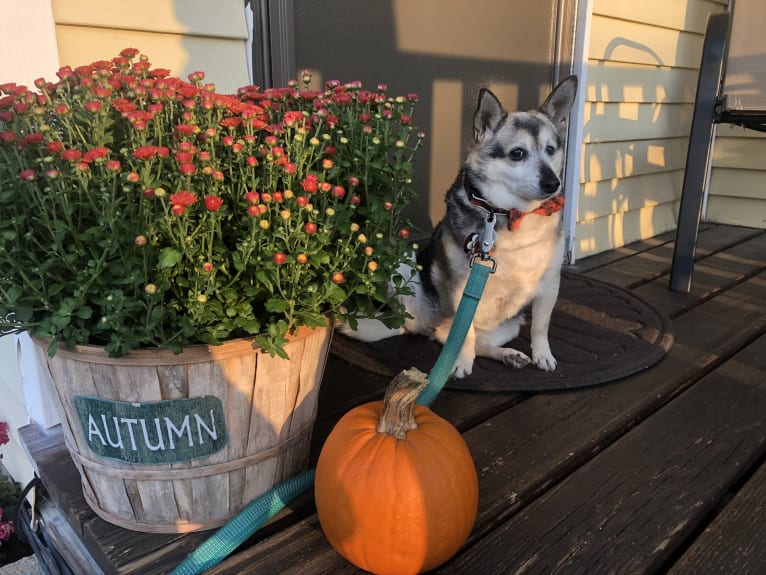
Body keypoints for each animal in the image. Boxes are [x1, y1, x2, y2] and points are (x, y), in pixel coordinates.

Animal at [340, 76, 576, 380]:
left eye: (550, 150)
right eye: (517, 154)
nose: (552, 183)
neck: (510, 215)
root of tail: (425, 324)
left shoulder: (549, 286)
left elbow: (540, 326)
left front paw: (542, 354)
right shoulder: (461, 289)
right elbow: (466, 337)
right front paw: (461, 363)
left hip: (511, 324)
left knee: (473, 341)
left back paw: (508, 355)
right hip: (404, 263)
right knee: (450, 337)